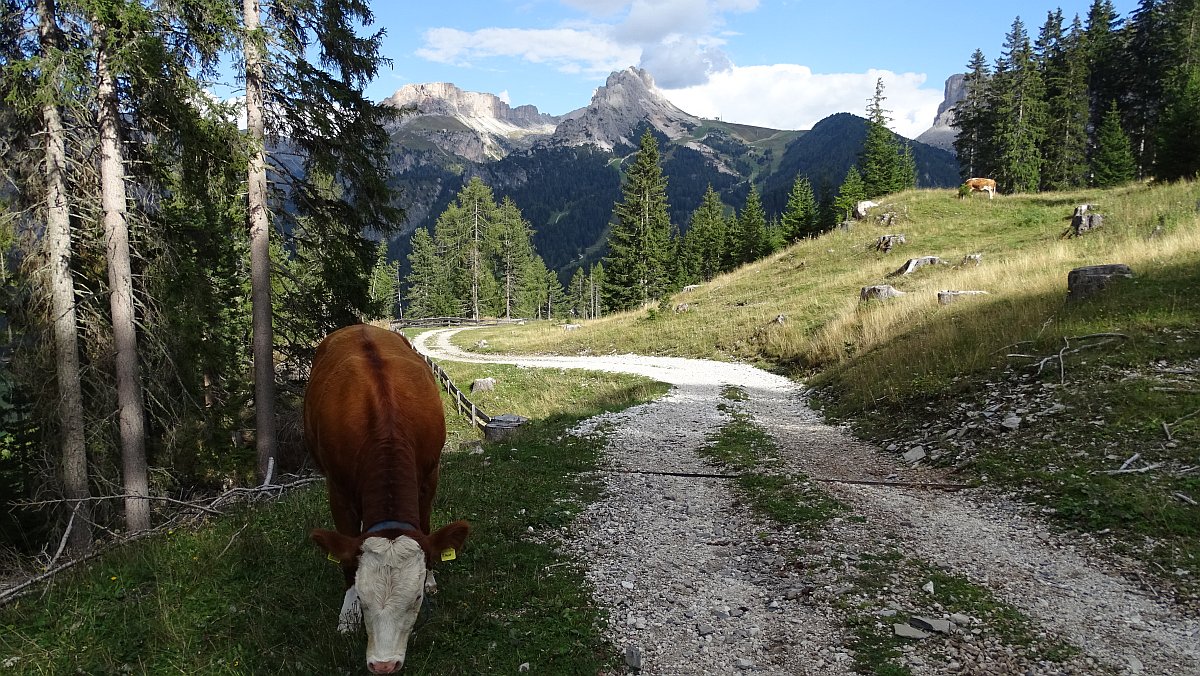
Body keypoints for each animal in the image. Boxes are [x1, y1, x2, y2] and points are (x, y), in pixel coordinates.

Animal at [304, 324, 468, 672]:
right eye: (365, 601)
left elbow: (425, 526)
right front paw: (348, 614)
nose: (383, 665)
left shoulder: (430, 474)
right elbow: (346, 552)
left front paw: (431, 576)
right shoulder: (337, 489)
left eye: (416, 599)